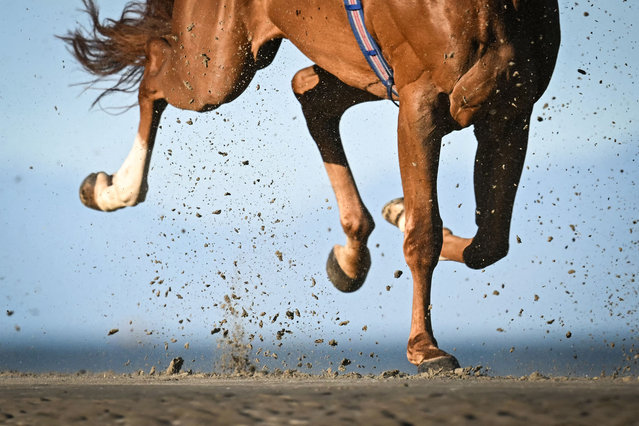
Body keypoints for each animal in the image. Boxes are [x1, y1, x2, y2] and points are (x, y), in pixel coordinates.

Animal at [61, 0, 560, 372]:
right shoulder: (421, 100)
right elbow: (425, 235)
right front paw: (425, 347)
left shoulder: (509, 111)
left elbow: (490, 243)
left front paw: (397, 213)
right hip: (218, 65)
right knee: (155, 69)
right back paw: (114, 189)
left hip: (349, 66)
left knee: (309, 91)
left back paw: (352, 253)